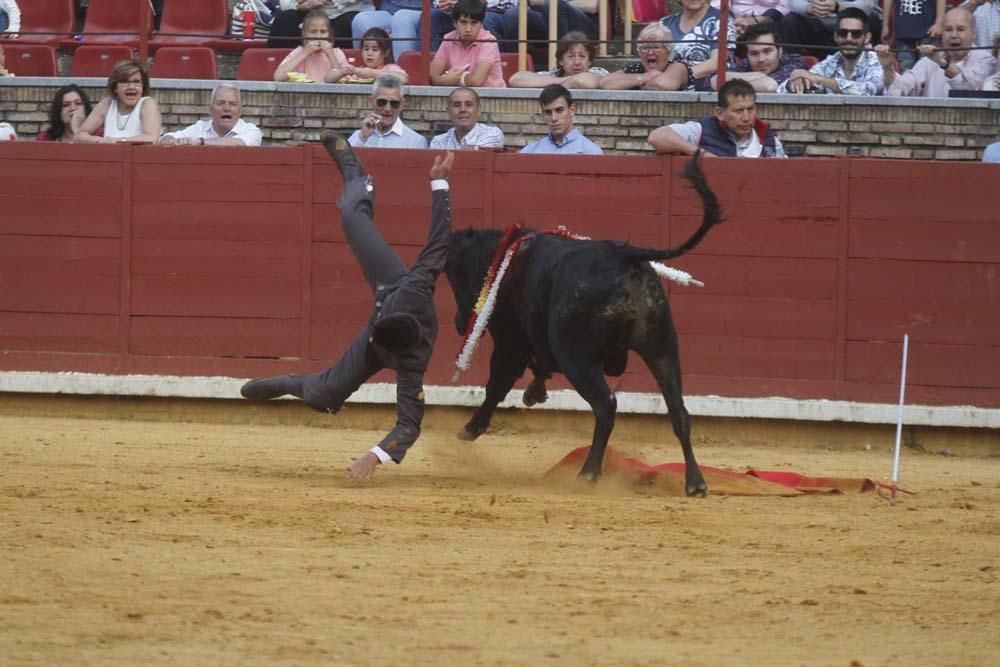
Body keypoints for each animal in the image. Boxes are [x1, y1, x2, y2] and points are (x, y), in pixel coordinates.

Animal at [444, 155, 720, 496]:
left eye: (453, 276)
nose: (459, 323)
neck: (506, 259)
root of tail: (625, 256)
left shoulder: (510, 342)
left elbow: (497, 383)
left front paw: (471, 429)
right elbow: (536, 366)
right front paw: (534, 393)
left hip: (577, 357)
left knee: (606, 405)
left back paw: (589, 473)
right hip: (662, 348)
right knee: (678, 410)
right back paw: (695, 482)